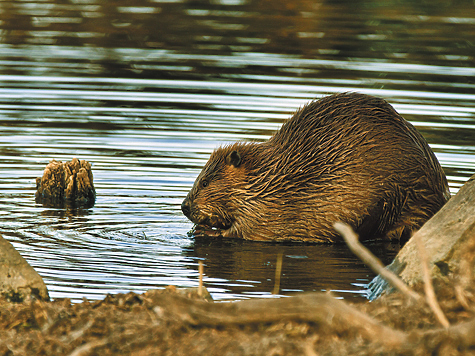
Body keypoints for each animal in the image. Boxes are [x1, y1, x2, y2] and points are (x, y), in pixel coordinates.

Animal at [181, 92, 450, 243]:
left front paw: (203, 231)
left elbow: (243, 231)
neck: (270, 178)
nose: (184, 207)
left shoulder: (265, 210)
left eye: (205, 182)